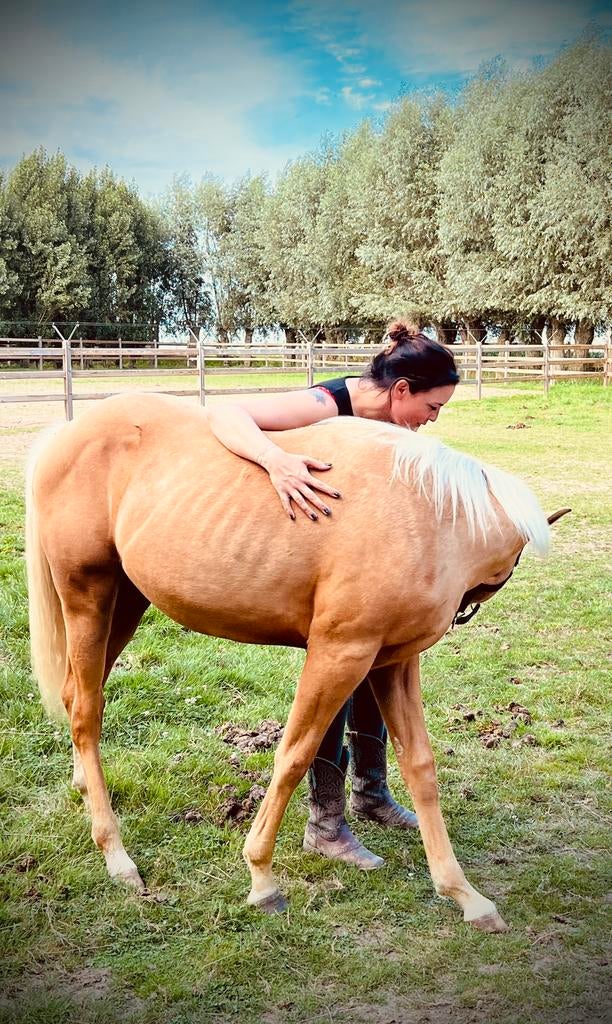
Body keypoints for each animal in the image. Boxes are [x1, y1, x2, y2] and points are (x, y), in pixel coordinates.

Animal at [25, 392, 568, 933]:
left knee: (78, 698)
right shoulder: (339, 654)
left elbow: (419, 767)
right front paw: (261, 877)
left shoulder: (393, 662)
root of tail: (67, 435)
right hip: (88, 596)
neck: (430, 515)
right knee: (86, 711)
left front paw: (464, 895)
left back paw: (84, 789)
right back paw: (116, 854)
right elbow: (294, 755)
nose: (464, 611)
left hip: (125, 603)